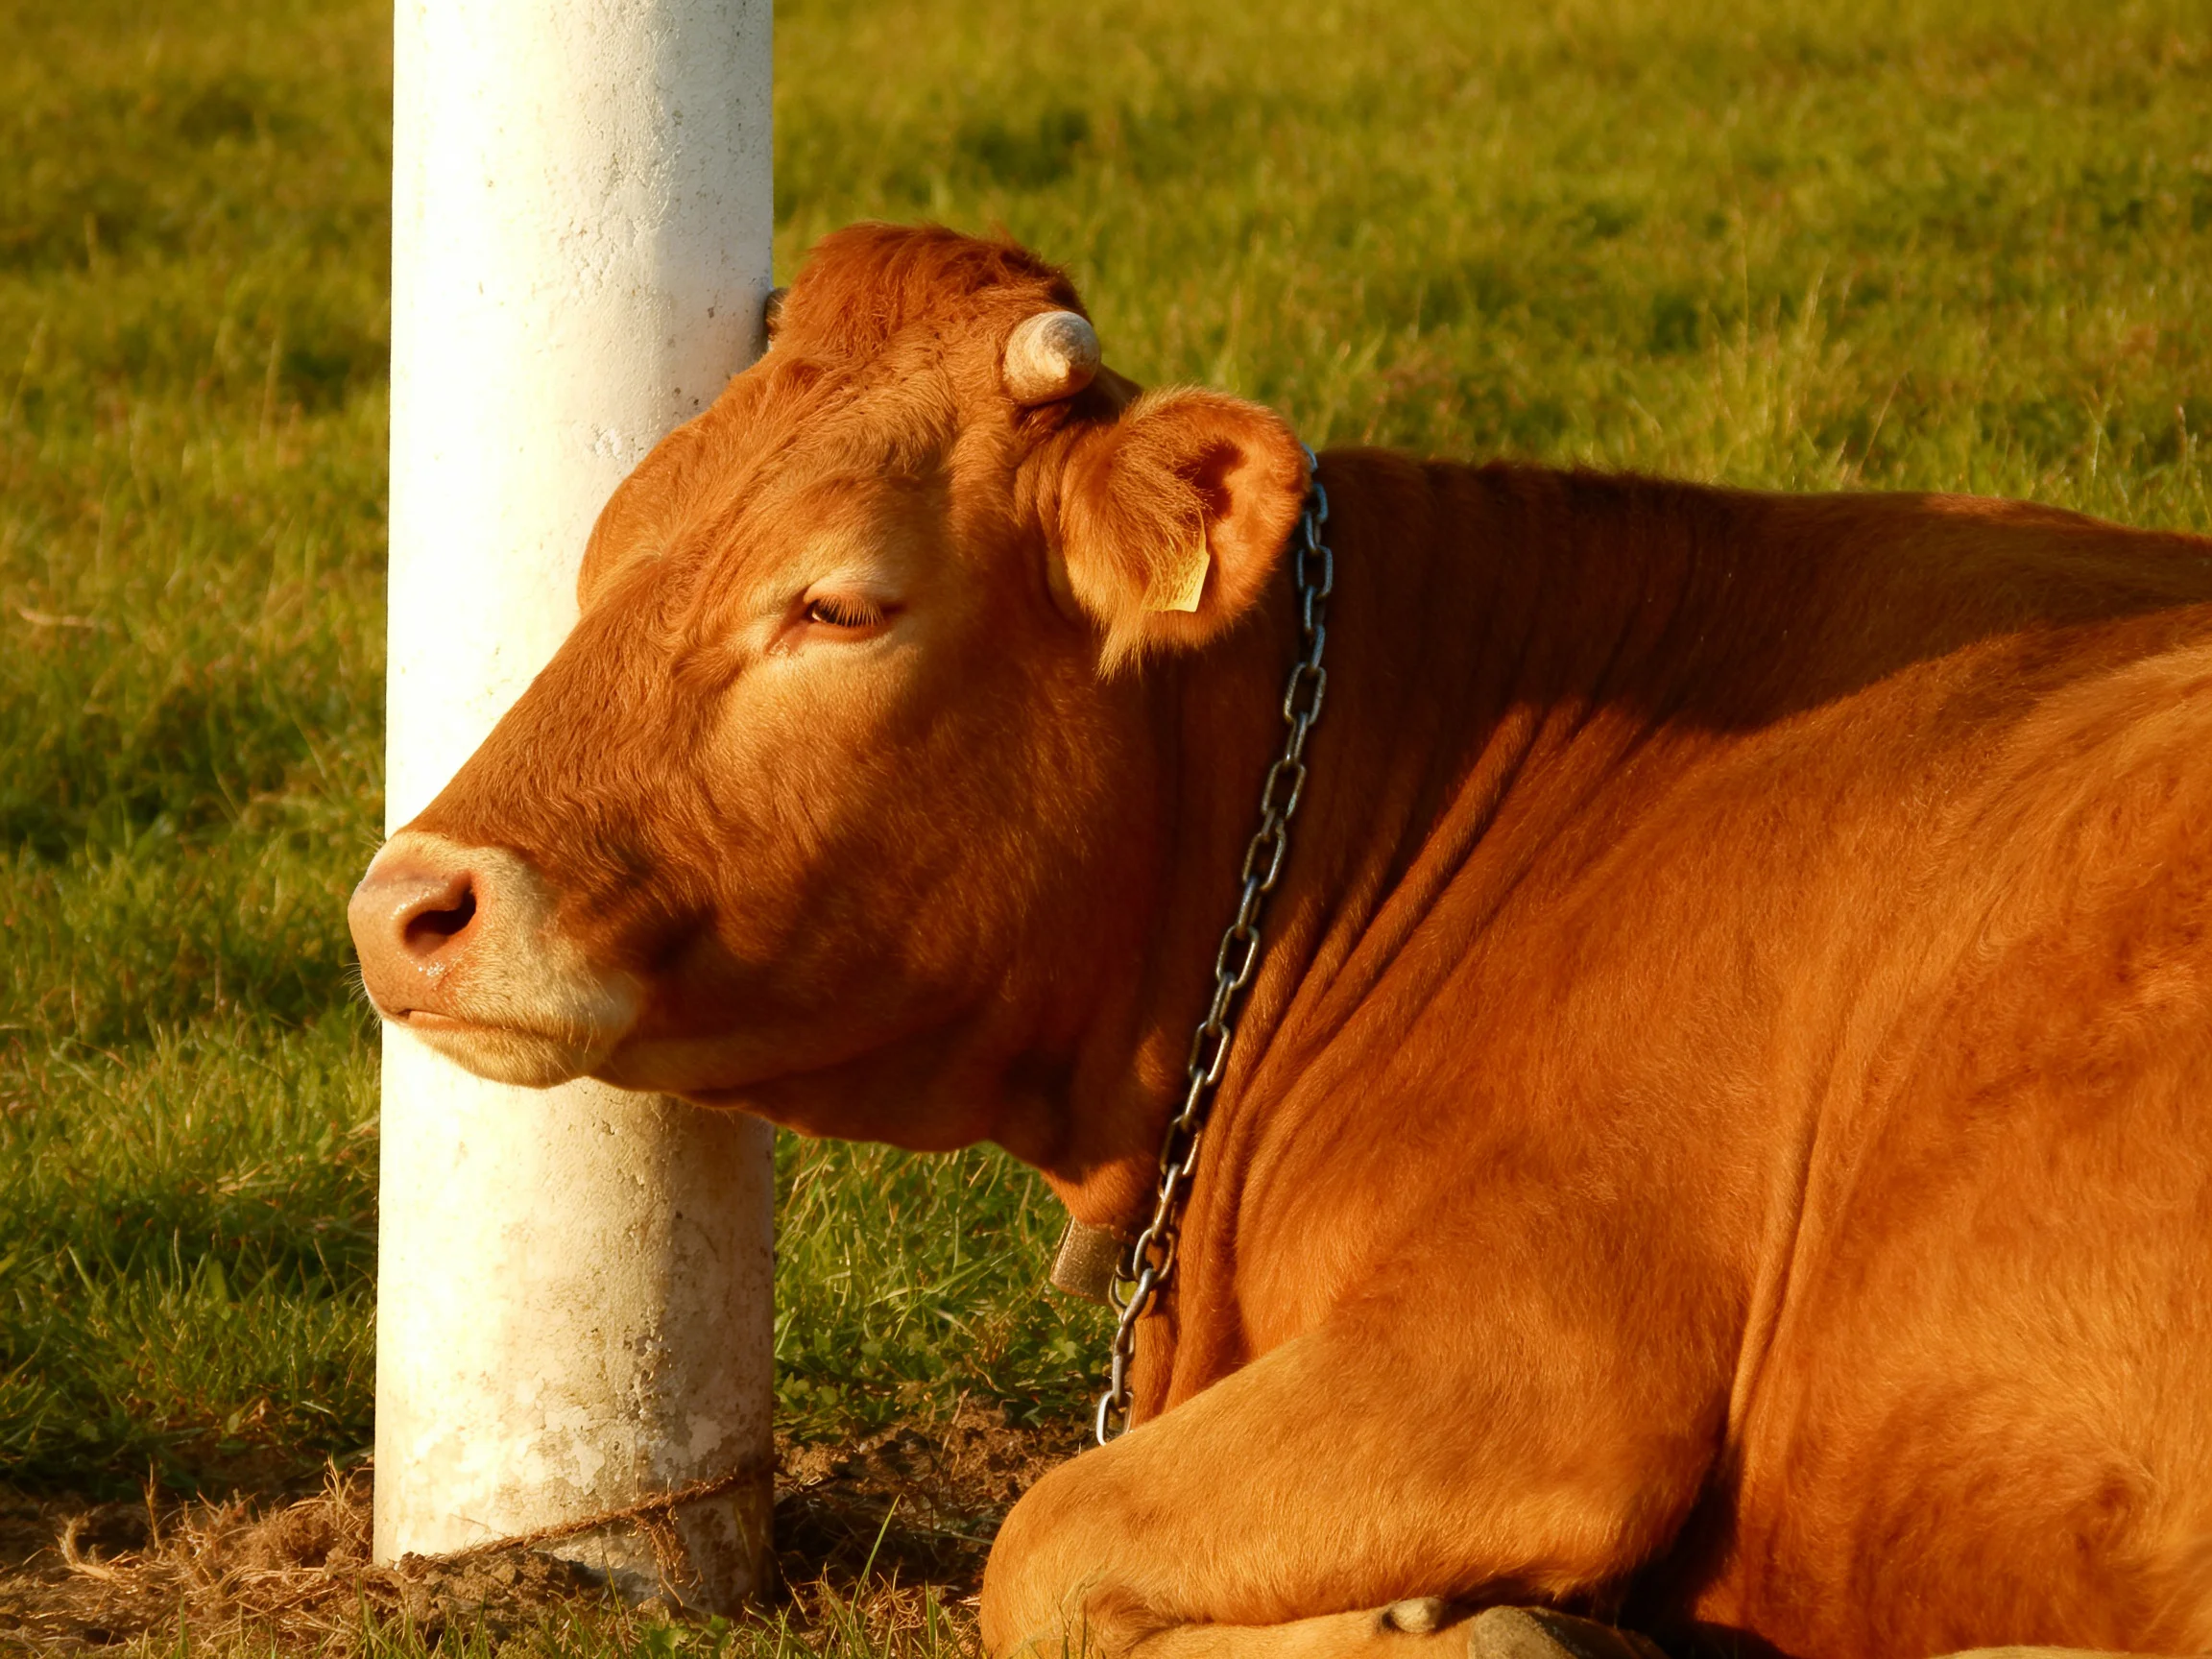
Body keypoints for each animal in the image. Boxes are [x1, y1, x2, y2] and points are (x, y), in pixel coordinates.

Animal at [349, 223, 2212, 1659]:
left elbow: (1043, 1548)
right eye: (601, 554)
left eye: (838, 602)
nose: (404, 907)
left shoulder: (1539, 1354)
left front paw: (1486, 1631)